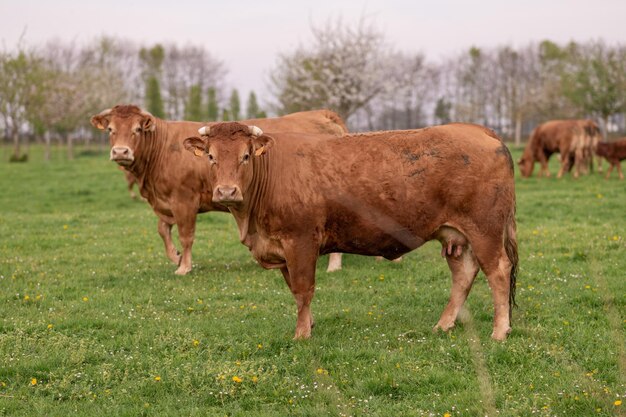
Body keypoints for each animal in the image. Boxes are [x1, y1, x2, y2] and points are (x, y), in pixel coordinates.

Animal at [91, 104, 348, 274]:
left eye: (137, 129)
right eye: (110, 130)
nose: (121, 152)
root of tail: (323, 113)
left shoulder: (184, 200)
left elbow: (186, 235)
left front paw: (184, 267)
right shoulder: (165, 202)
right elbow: (163, 230)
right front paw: (176, 257)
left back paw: (334, 266)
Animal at [183, 122, 520, 340]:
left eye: (245, 156)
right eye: (211, 157)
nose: (227, 192)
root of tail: (477, 129)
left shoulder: (300, 241)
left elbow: (304, 289)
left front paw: (301, 334)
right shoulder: (282, 248)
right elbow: (295, 291)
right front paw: (309, 325)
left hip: (485, 229)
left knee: (498, 271)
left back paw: (500, 331)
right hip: (455, 234)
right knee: (463, 275)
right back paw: (444, 325)